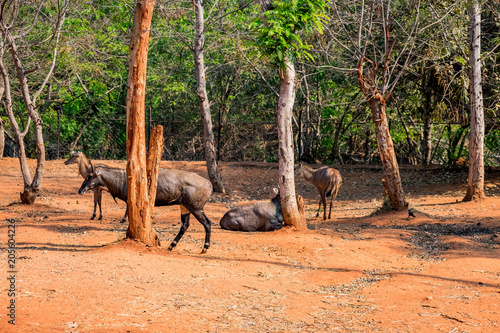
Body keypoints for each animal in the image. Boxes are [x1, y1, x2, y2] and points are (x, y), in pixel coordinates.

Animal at [78, 163, 213, 252]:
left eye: (90, 176)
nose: (80, 190)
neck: (122, 178)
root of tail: (209, 184)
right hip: (184, 207)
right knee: (185, 225)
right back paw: (171, 246)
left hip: (195, 208)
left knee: (207, 222)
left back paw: (205, 247)